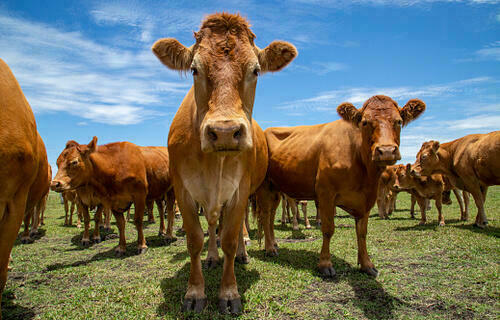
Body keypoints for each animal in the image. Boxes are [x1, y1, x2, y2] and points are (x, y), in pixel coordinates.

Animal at [150, 13, 294, 316]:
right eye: (194, 69)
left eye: (256, 70)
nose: (225, 131)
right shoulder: (183, 190)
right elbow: (195, 239)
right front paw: (195, 292)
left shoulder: (239, 190)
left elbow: (229, 237)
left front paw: (229, 293)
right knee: (214, 224)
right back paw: (212, 257)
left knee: (239, 227)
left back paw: (243, 253)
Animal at [256, 95, 424, 278]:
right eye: (365, 122)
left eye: (399, 121)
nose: (386, 151)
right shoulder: (326, 194)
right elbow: (328, 229)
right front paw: (325, 264)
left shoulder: (367, 198)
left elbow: (362, 232)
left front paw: (367, 264)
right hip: (264, 186)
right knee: (265, 215)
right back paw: (270, 248)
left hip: (276, 188)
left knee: (271, 215)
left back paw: (273, 243)